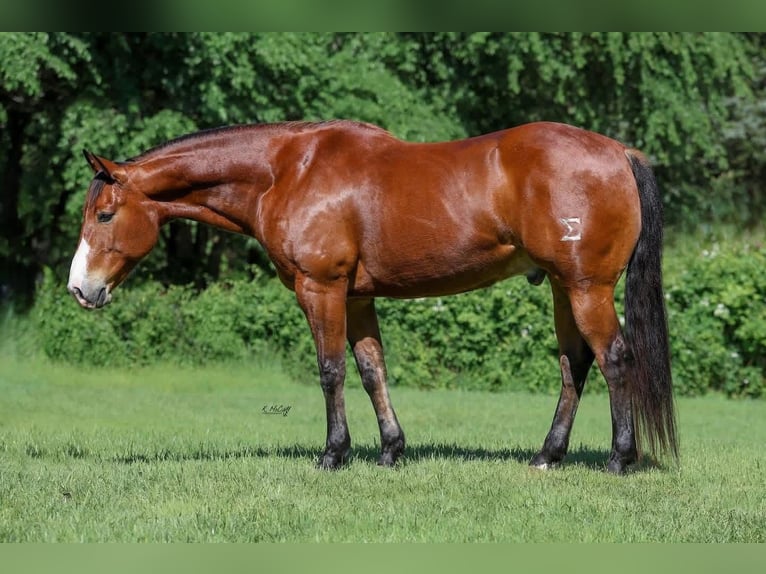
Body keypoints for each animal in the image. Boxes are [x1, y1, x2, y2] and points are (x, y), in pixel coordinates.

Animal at [68, 119, 678, 474]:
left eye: (105, 215)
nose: (80, 288)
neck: (286, 171)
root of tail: (619, 152)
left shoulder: (322, 289)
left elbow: (331, 370)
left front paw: (333, 453)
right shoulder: (358, 298)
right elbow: (371, 371)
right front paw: (390, 449)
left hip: (586, 288)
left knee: (614, 358)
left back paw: (620, 459)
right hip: (561, 286)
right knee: (575, 364)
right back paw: (547, 455)